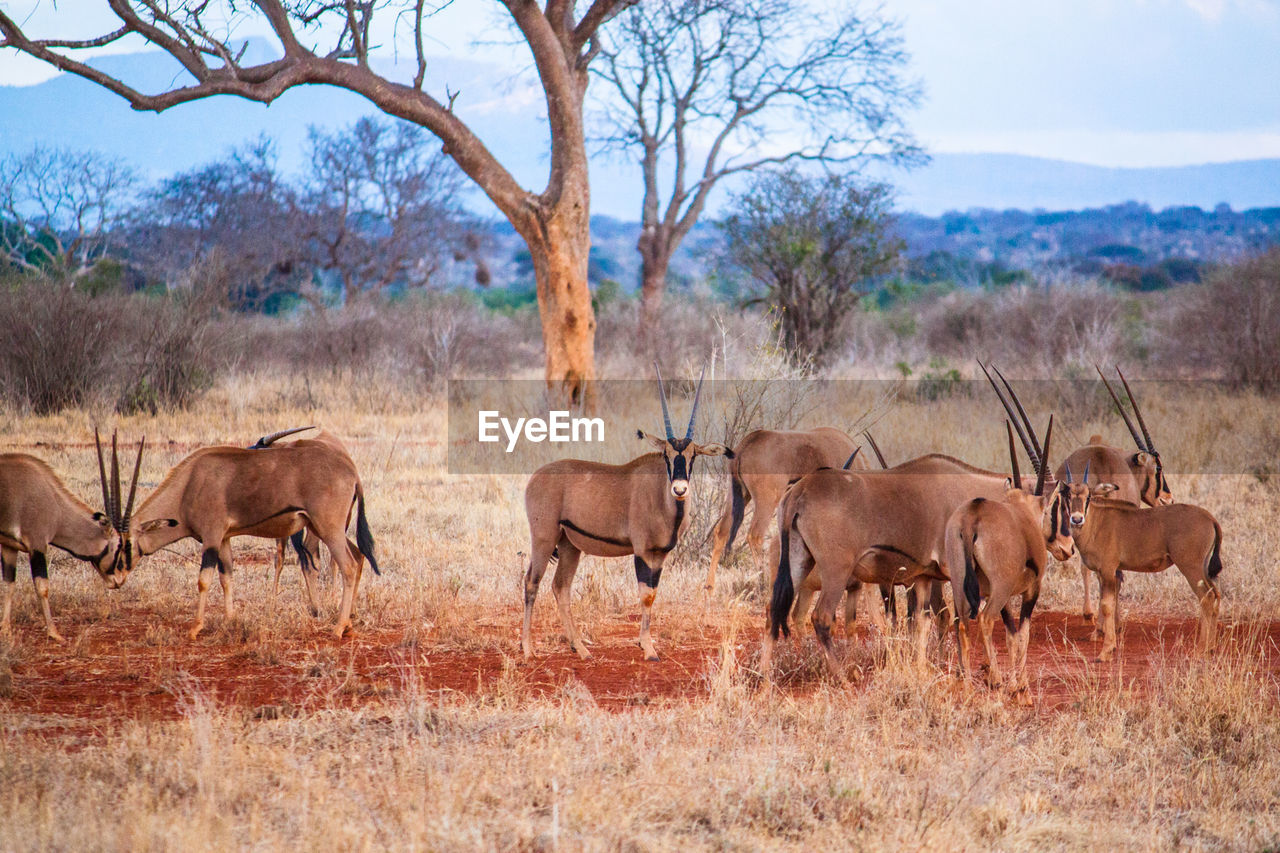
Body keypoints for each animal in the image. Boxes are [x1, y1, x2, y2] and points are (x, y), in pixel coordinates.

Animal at [517, 366, 721, 655]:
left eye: (693, 456)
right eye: (667, 456)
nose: (680, 489)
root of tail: (535, 476)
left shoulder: (660, 555)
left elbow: (653, 595)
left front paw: (645, 643)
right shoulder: (642, 552)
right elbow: (646, 596)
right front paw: (648, 649)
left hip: (569, 545)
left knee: (561, 587)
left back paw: (580, 648)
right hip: (544, 538)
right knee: (531, 582)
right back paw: (527, 648)